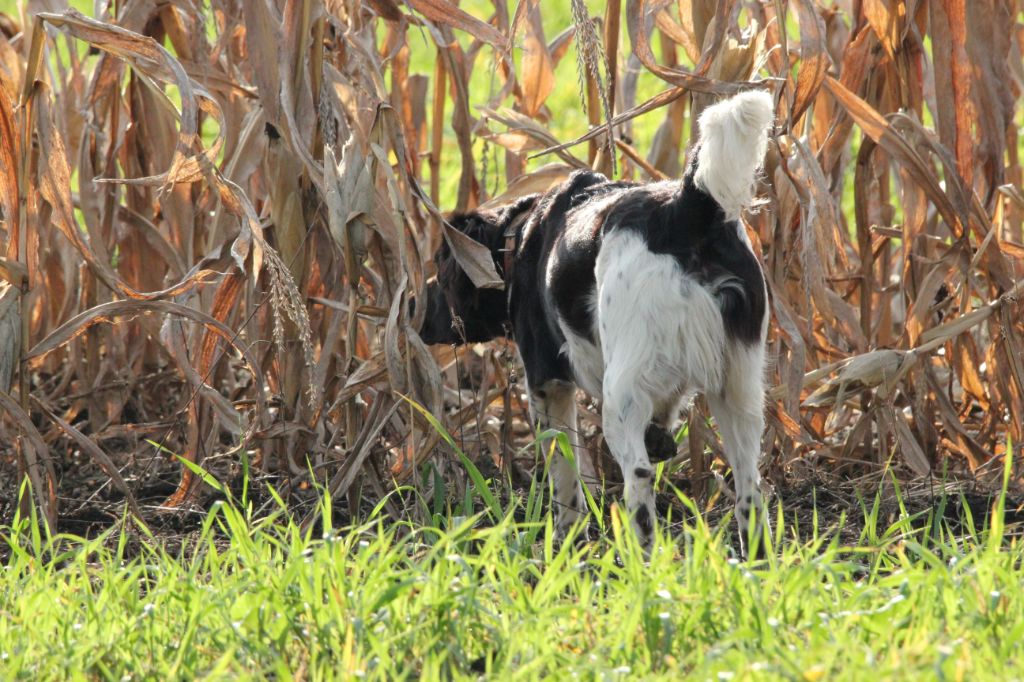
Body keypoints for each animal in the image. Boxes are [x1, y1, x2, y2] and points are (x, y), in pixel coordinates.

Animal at [415, 90, 770, 548]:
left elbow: (565, 473)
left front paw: (567, 538)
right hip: (738, 389)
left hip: (623, 396)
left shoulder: (547, 382)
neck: (520, 238)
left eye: (441, 268)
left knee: (639, 481)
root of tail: (687, 206)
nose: (413, 308)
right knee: (750, 488)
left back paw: (640, 554)